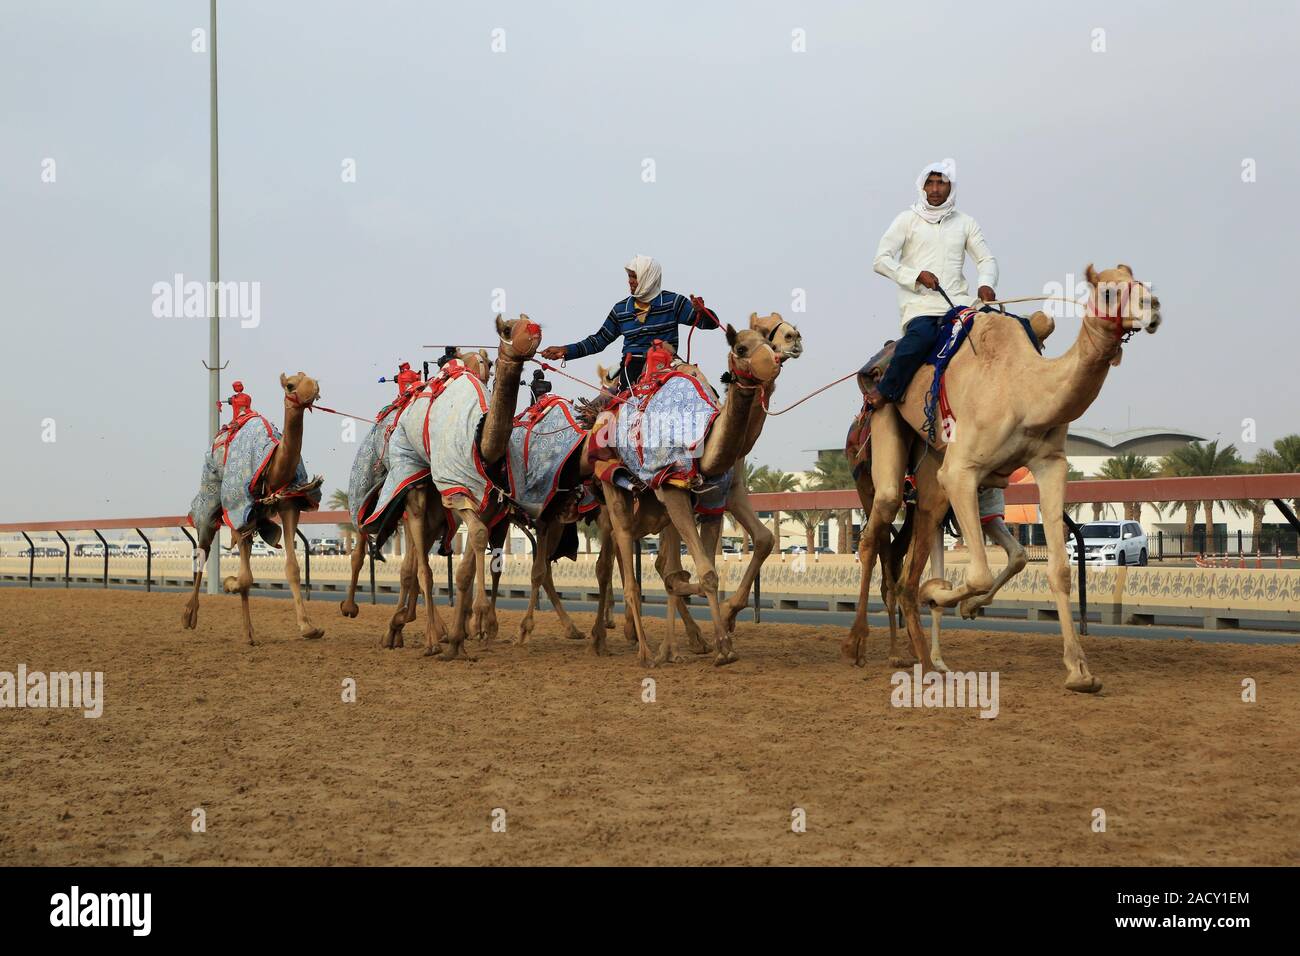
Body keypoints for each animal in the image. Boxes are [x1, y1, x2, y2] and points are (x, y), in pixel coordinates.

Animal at [182, 371, 325, 642]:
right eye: (290, 385)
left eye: (311, 378)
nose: (313, 388)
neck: (272, 469)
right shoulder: (238, 510)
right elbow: (245, 577)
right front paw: (228, 583)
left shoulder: (289, 505)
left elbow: (292, 567)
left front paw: (309, 627)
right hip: (212, 501)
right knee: (203, 548)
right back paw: (189, 616)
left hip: (252, 518)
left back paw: (249, 633)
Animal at [852, 265, 1159, 691]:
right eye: (1110, 292)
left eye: (1142, 284)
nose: (1153, 307)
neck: (1023, 390)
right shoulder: (961, 470)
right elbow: (979, 573)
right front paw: (945, 595)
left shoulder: (1050, 463)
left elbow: (1057, 569)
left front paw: (1079, 671)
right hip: (885, 425)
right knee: (876, 530)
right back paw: (859, 646)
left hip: (931, 472)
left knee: (907, 558)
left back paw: (924, 659)